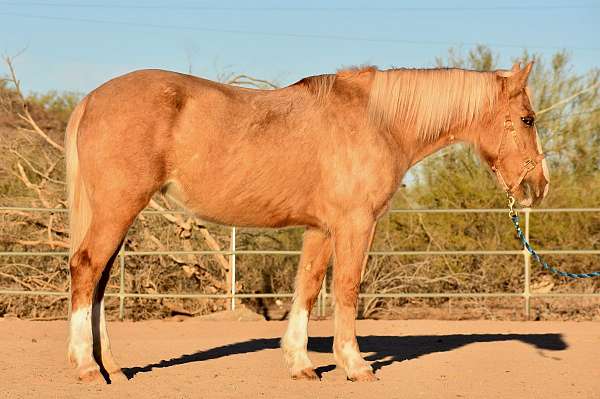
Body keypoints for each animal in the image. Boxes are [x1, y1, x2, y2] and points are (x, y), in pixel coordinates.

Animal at [64, 61, 548, 382]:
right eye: (527, 119)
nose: (538, 186)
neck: (376, 121)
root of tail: (91, 99)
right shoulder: (355, 225)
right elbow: (347, 288)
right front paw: (356, 365)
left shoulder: (321, 229)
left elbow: (308, 287)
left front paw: (301, 364)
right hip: (119, 208)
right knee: (86, 269)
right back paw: (87, 367)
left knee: (100, 279)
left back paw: (112, 367)